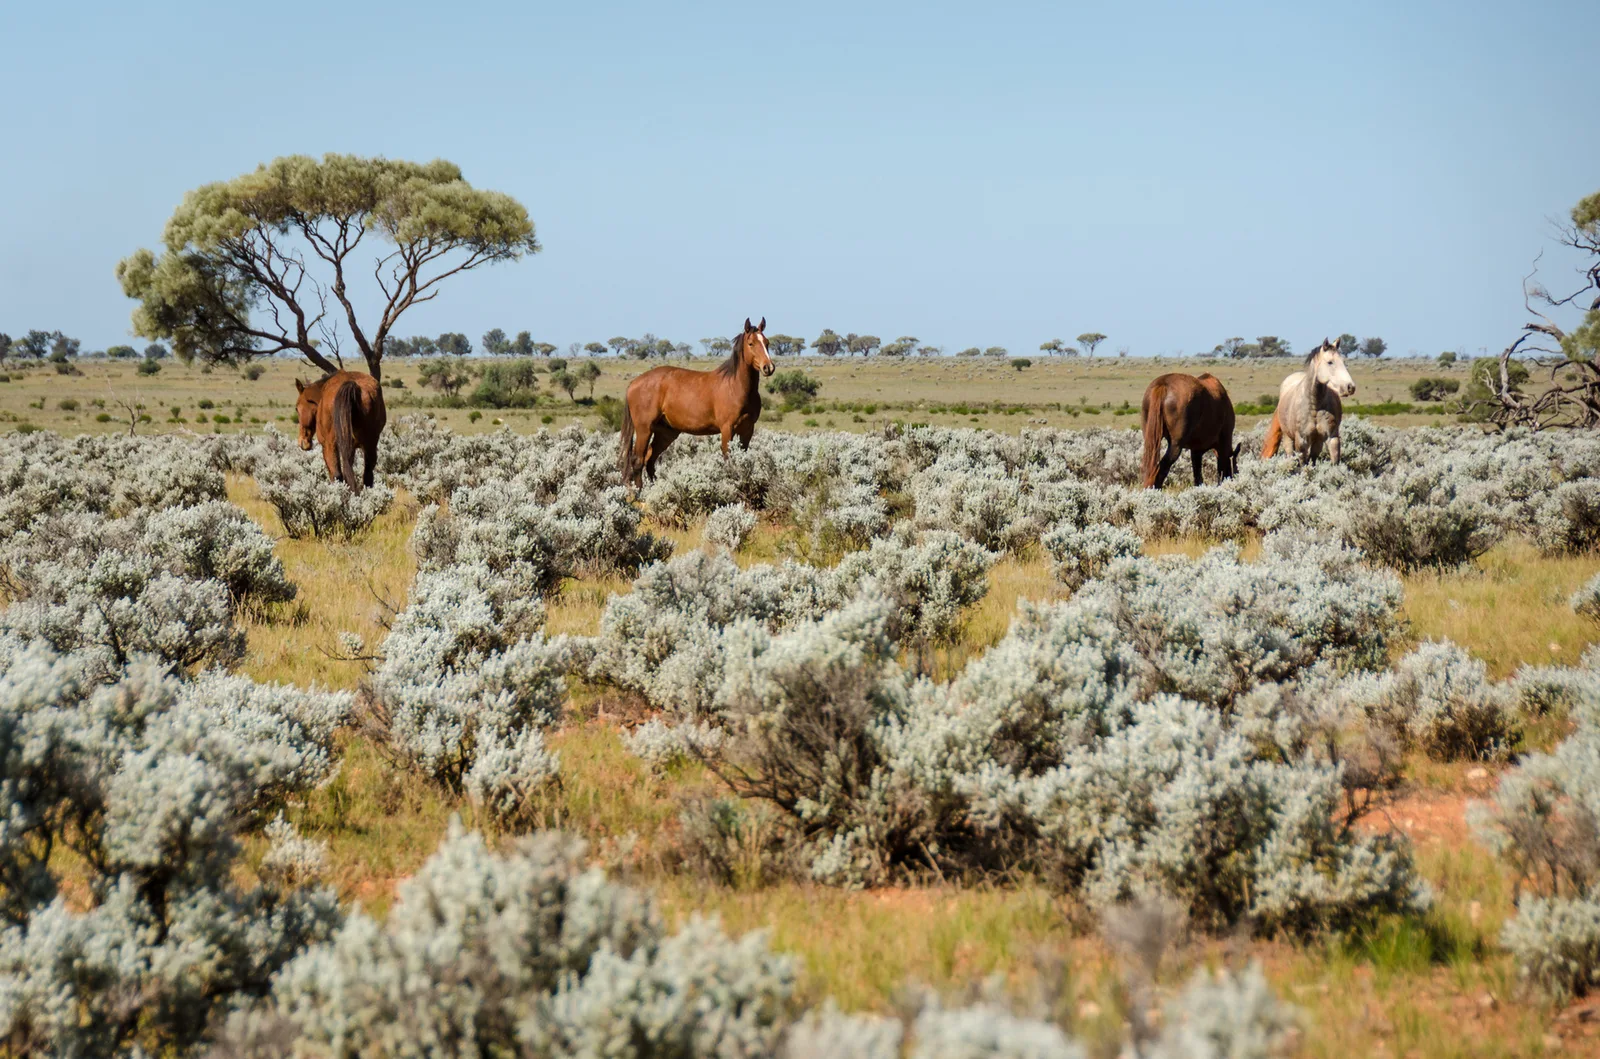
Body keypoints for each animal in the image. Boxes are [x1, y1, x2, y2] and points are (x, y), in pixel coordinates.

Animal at [619, 317, 775, 489]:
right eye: (751, 343)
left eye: (767, 343)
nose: (768, 367)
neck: (736, 387)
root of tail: (634, 383)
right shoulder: (727, 429)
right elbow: (728, 460)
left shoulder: (747, 429)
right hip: (644, 429)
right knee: (638, 461)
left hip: (666, 433)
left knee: (650, 460)